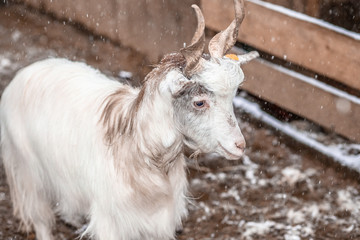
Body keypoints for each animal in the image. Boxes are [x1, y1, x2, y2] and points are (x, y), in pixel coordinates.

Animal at [0, 0, 258, 239]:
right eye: (199, 102)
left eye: (232, 97)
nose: (239, 145)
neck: (137, 147)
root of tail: (21, 77)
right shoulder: (111, 220)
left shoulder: (160, 219)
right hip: (29, 173)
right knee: (40, 219)